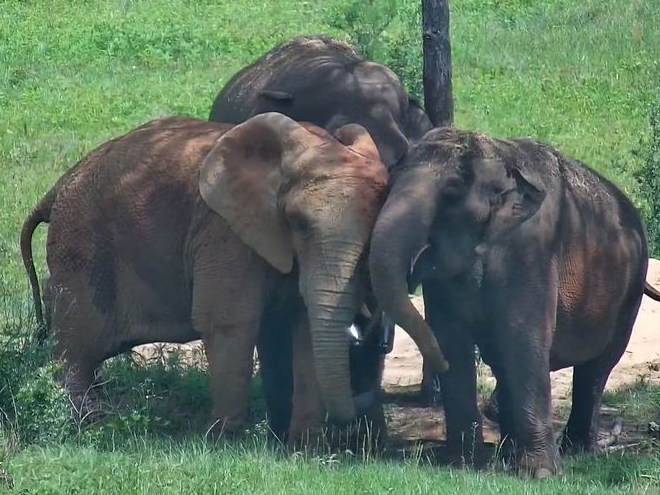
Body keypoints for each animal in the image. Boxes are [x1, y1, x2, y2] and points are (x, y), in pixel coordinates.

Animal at [20, 113, 446, 443]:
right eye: (298, 225)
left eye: (370, 235)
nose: (442, 366)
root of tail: (56, 187)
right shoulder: (225, 232)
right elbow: (229, 322)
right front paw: (223, 441)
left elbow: (307, 328)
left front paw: (304, 449)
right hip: (81, 245)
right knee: (77, 348)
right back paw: (88, 429)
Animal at [369, 127, 660, 477]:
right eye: (391, 181)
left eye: (451, 194)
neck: (497, 157)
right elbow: (451, 338)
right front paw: (461, 465)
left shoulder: (530, 249)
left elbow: (522, 335)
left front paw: (541, 475)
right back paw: (509, 453)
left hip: (630, 289)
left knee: (597, 366)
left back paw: (575, 451)